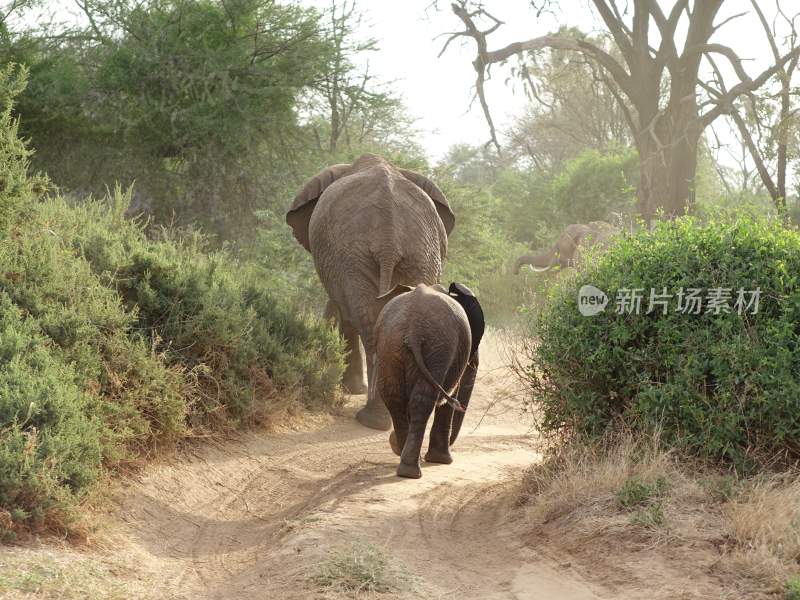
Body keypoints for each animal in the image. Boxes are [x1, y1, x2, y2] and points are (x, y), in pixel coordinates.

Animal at [286, 152, 456, 428]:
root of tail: (389, 239)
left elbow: (342, 311)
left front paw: (352, 389)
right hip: (417, 256)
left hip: (356, 257)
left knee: (366, 321)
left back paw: (372, 420)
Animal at [372, 282, 484, 478]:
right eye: (473, 363)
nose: (391, 441)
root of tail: (413, 329)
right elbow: (450, 397)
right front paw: (442, 461)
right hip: (438, 349)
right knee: (421, 401)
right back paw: (411, 471)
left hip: (390, 346)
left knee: (394, 397)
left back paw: (405, 464)